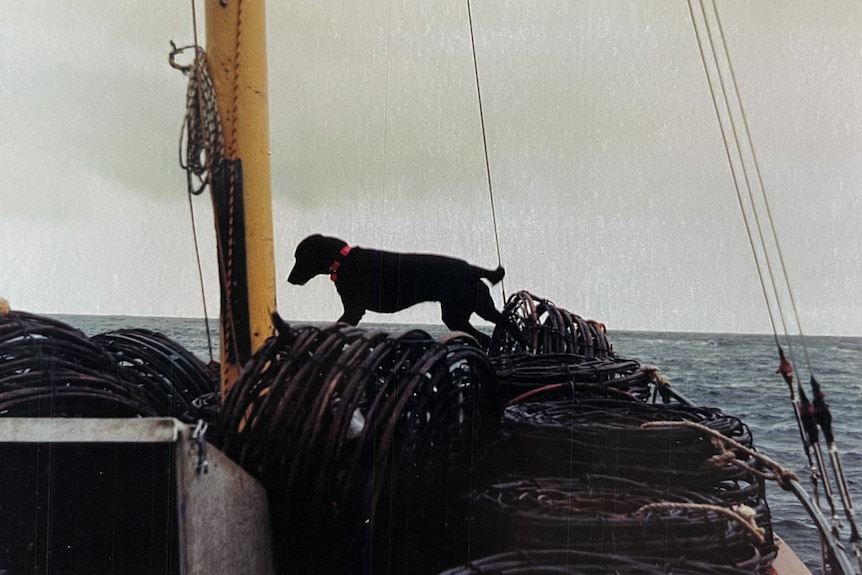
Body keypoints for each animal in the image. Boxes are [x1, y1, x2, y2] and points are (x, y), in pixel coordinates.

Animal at [290, 233, 520, 348]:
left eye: (300, 257)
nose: (289, 279)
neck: (343, 259)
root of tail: (472, 269)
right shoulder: (353, 311)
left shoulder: (353, 311)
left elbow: (338, 326)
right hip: (467, 313)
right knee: (494, 333)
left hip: (466, 312)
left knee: (503, 328)